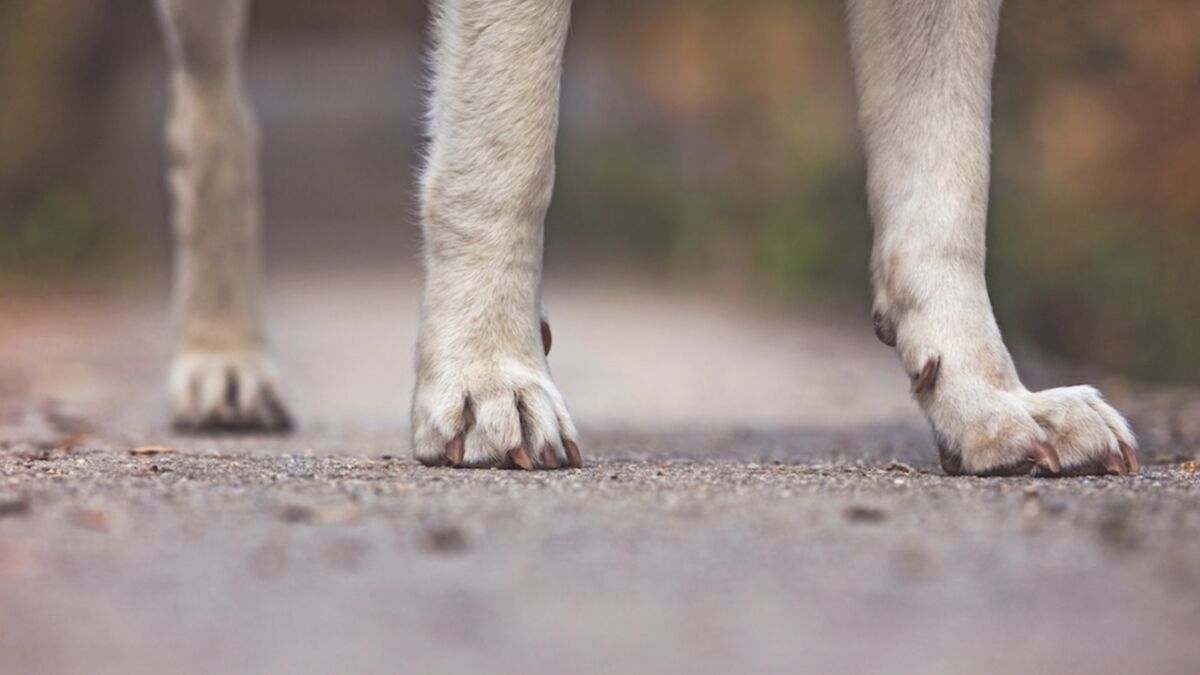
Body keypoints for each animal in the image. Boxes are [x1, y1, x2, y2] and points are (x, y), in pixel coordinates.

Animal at [154, 0, 1137, 473]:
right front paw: (487, 377)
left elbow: (947, 177)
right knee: (216, 112)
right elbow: (502, 143)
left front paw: (990, 403)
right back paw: (222, 362)